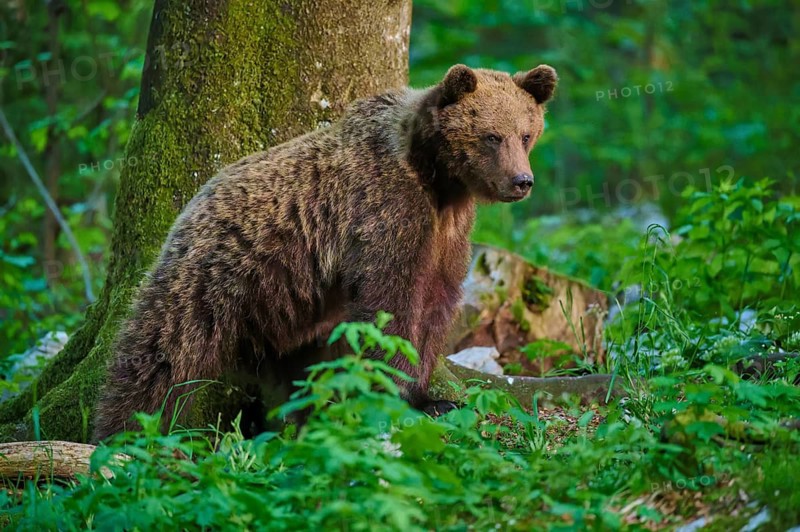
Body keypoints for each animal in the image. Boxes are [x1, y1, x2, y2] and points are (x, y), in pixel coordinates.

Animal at [92, 63, 558, 441]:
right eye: (491, 136)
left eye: (526, 134)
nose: (522, 181)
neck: (438, 181)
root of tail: (193, 202)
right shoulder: (386, 212)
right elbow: (391, 307)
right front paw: (406, 395)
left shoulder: (447, 234)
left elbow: (435, 306)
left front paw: (435, 397)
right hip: (214, 273)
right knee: (163, 353)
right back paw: (124, 430)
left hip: (290, 314)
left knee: (303, 374)